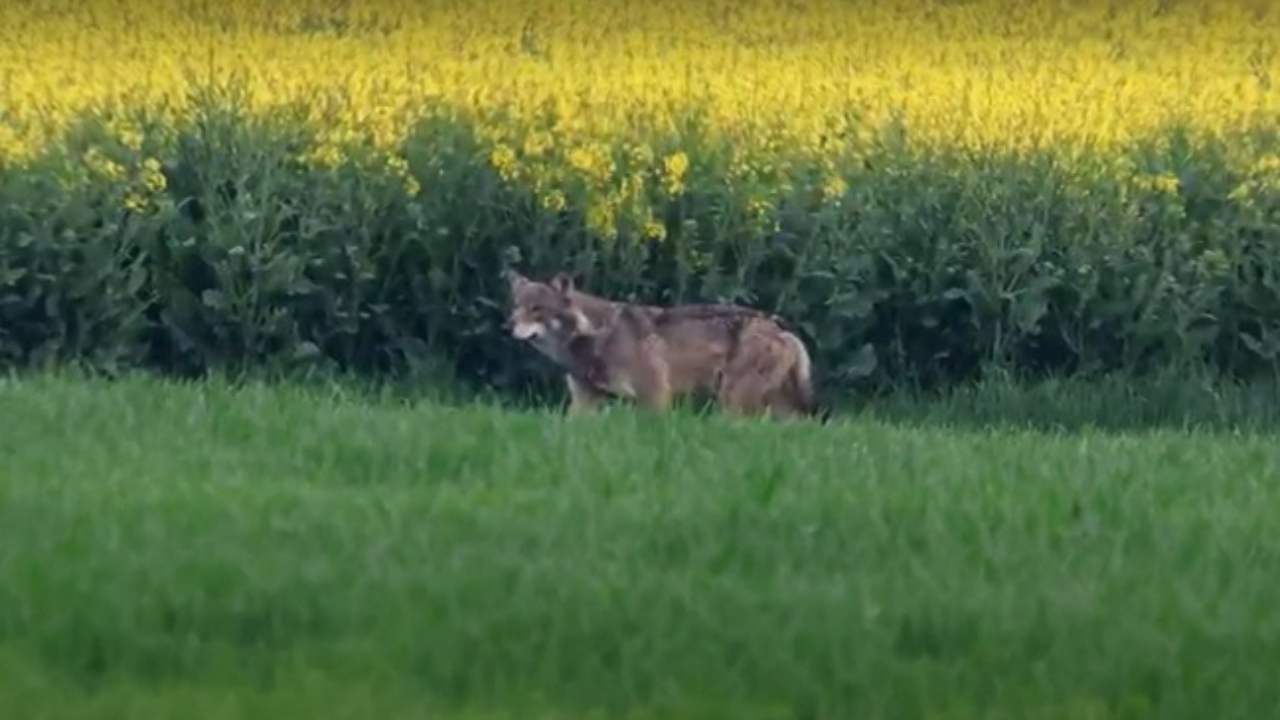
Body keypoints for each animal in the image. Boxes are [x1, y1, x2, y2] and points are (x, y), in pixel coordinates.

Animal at [503, 269, 825, 421]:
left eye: (536, 309)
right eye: (516, 306)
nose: (507, 326)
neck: (596, 334)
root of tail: (782, 330)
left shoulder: (654, 397)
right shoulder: (584, 402)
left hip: (732, 403)